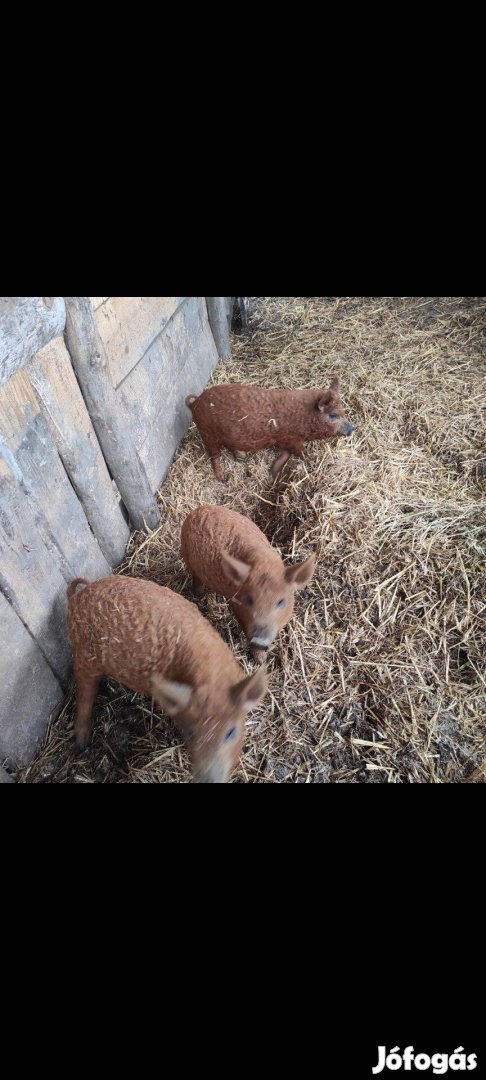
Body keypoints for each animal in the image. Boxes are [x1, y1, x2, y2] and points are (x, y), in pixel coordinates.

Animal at [66, 578, 267, 781]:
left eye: (231, 732)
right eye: (191, 734)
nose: (206, 779)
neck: (211, 677)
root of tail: (77, 596)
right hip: (84, 657)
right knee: (84, 695)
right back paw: (82, 743)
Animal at [180, 503, 317, 660]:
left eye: (281, 602)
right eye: (249, 600)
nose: (259, 641)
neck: (265, 564)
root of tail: (197, 510)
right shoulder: (236, 605)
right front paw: (261, 660)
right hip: (187, 555)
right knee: (196, 579)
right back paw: (198, 597)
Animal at [184, 380, 352, 481]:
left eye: (343, 411)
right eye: (333, 415)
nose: (352, 429)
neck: (303, 416)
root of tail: (194, 403)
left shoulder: (281, 441)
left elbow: (285, 453)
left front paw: (273, 472)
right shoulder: (290, 439)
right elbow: (301, 452)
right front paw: (310, 460)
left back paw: (242, 457)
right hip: (207, 433)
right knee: (214, 456)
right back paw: (223, 478)